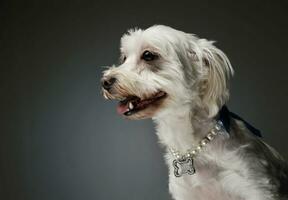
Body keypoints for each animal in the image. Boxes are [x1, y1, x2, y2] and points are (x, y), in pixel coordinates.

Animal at [100, 25, 288, 200]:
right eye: (124, 58)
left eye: (148, 55)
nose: (105, 81)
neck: (189, 146)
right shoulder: (185, 192)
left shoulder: (254, 186)